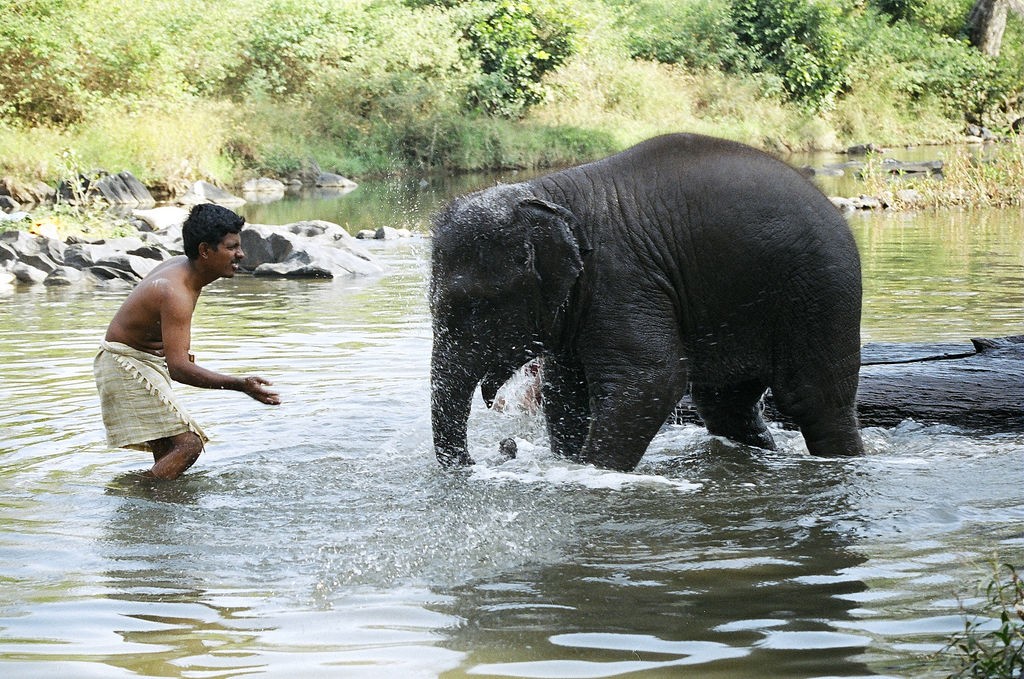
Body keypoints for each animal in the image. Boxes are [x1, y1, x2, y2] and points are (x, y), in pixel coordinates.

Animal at [428, 133, 860, 473]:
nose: (504, 449)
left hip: (820, 293)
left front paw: (590, 470)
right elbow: (564, 390)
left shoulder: (623, 279)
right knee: (725, 404)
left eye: (474, 306)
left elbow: (652, 380)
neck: (548, 195)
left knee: (815, 400)